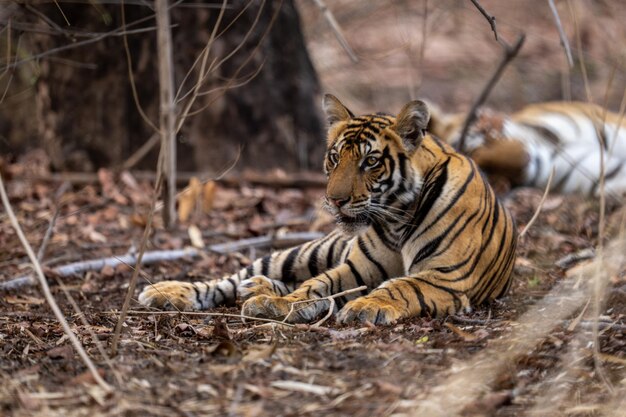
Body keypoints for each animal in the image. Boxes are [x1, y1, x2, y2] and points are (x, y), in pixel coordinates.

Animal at [138, 95, 516, 324]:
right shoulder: (358, 267)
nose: (335, 199)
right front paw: (284, 304)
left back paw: (259, 289)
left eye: (370, 161)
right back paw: (171, 291)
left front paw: (366, 306)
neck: (396, 219)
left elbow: (400, 286)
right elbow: (317, 283)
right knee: (231, 278)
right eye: (335, 157)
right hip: (305, 251)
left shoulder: (445, 277)